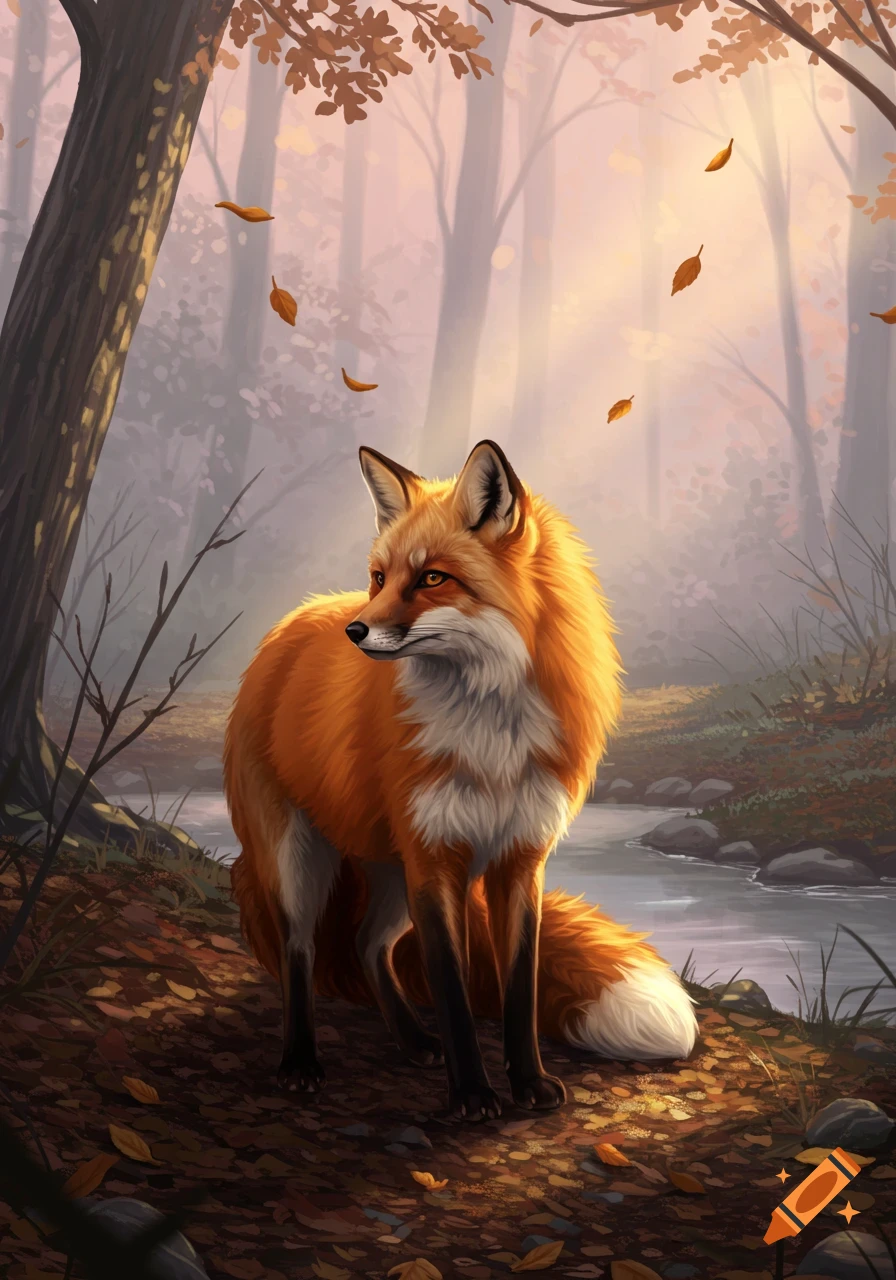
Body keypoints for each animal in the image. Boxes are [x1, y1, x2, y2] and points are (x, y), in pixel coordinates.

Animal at [224, 439, 697, 1119]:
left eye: (432, 578)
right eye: (380, 577)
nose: (355, 631)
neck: (489, 730)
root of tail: (292, 621)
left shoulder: (518, 859)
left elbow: (518, 989)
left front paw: (528, 1084)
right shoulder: (436, 858)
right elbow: (452, 988)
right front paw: (473, 1094)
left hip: (390, 871)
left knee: (368, 945)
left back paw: (411, 1041)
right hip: (300, 860)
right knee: (301, 951)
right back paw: (300, 1062)